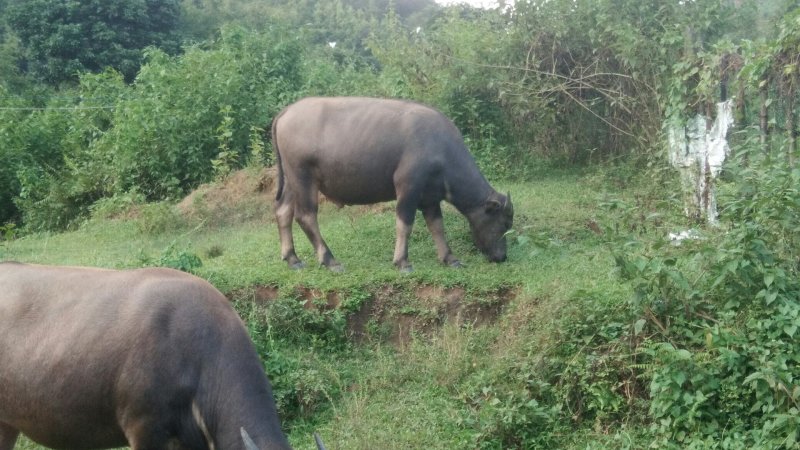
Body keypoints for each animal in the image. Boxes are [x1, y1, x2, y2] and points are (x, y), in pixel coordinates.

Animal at [272, 96, 516, 270]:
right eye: (504, 223)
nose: (502, 257)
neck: (441, 150)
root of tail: (287, 111)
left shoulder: (430, 197)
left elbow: (437, 226)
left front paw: (449, 258)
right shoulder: (408, 187)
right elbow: (405, 223)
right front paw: (402, 261)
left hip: (291, 181)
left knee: (283, 211)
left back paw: (292, 259)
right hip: (303, 177)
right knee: (306, 216)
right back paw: (329, 260)